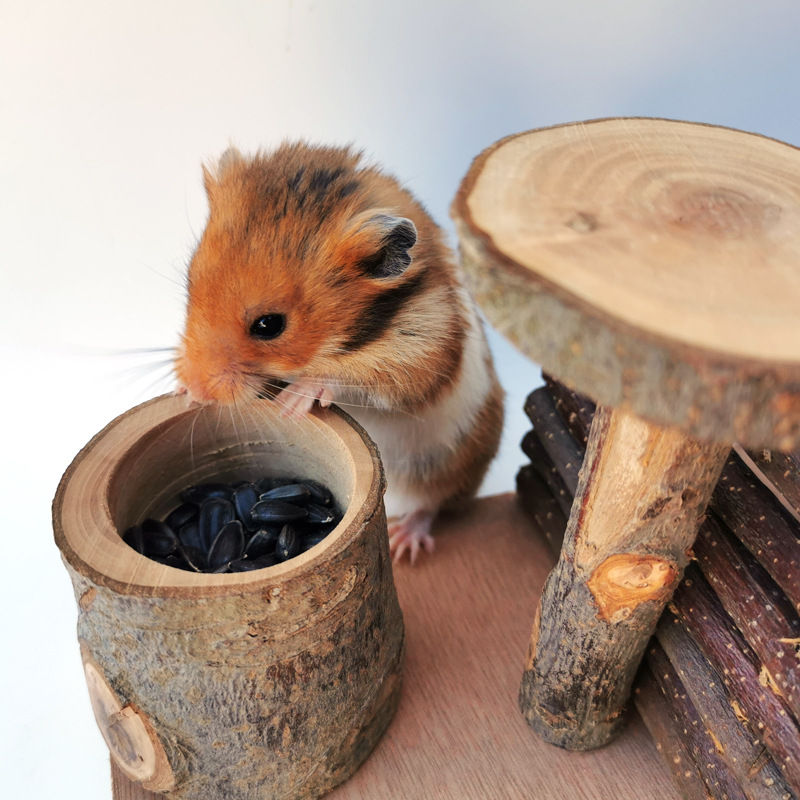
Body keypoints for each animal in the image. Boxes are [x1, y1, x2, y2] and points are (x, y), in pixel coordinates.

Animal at [175, 142, 504, 563]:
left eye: (269, 325)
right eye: (190, 285)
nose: (199, 388)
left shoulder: (422, 350)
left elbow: (349, 376)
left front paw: (292, 403)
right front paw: (182, 393)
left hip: (444, 468)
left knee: (431, 505)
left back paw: (402, 543)